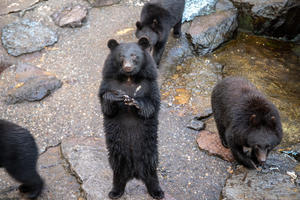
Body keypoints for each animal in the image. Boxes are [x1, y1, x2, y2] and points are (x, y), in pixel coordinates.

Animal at [98, 37, 164, 198]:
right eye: (121, 56)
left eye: (134, 55)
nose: (127, 67)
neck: (129, 78)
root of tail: (134, 173)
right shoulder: (107, 83)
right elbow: (106, 106)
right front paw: (115, 97)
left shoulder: (150, 84)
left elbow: (151, 105)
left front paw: (135, 102)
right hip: (117, 153)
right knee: (117, 172)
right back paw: (115, 192)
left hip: (148, 149)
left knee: (151, 171)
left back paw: (157, 191)